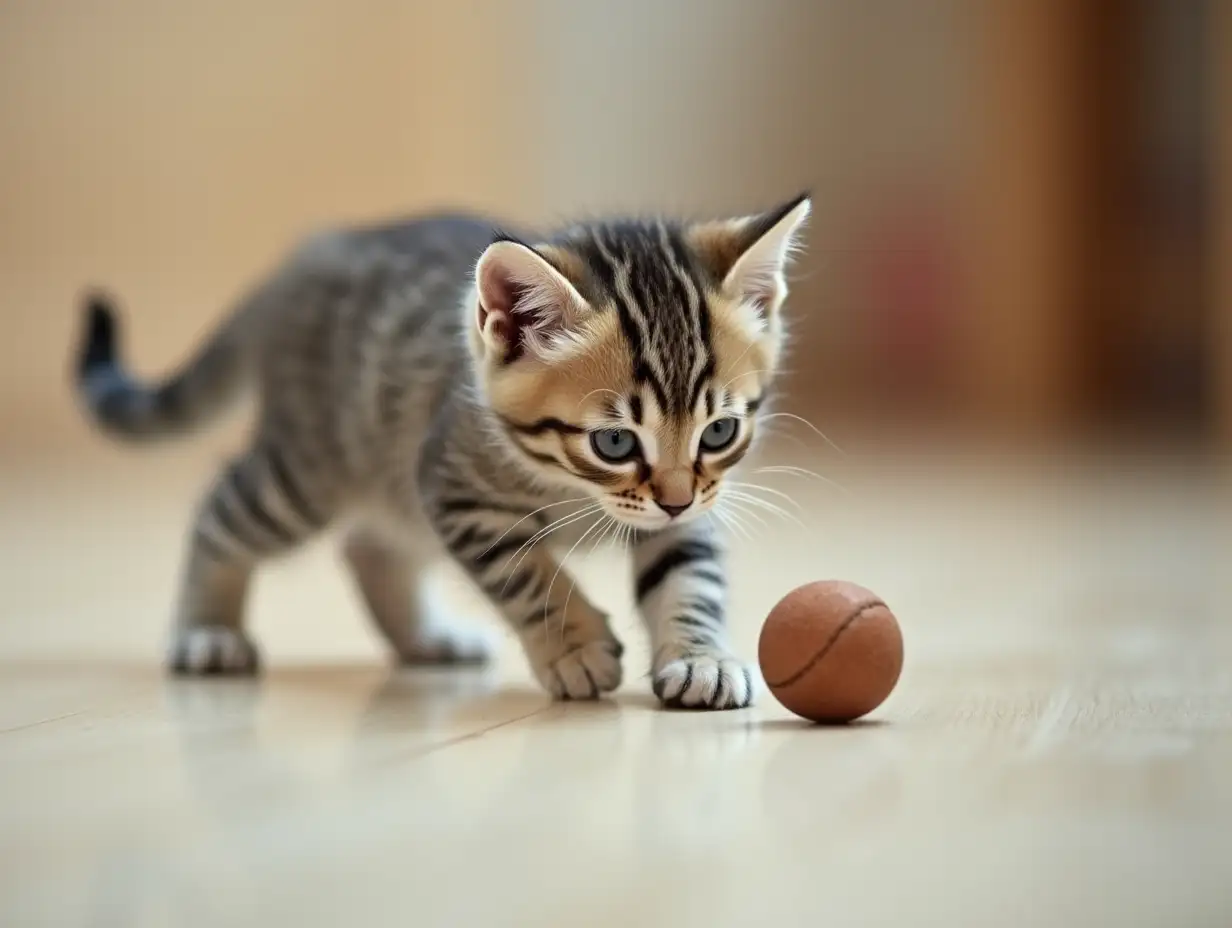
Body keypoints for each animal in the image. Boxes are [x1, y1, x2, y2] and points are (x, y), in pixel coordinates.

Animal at [74, 192, 808, 704]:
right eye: (614, 441)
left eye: (719, 432)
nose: (676, 498)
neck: (572, 486)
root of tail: (310, 255)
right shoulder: (455, 489)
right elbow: (527, 574)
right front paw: (573, 648)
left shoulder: (690, 511)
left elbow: (690, 577)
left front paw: (702, 656)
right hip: (309, 469)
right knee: (221, 515)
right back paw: (207, 633)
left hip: (391, 481)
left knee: (368, 547)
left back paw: (428, 639)